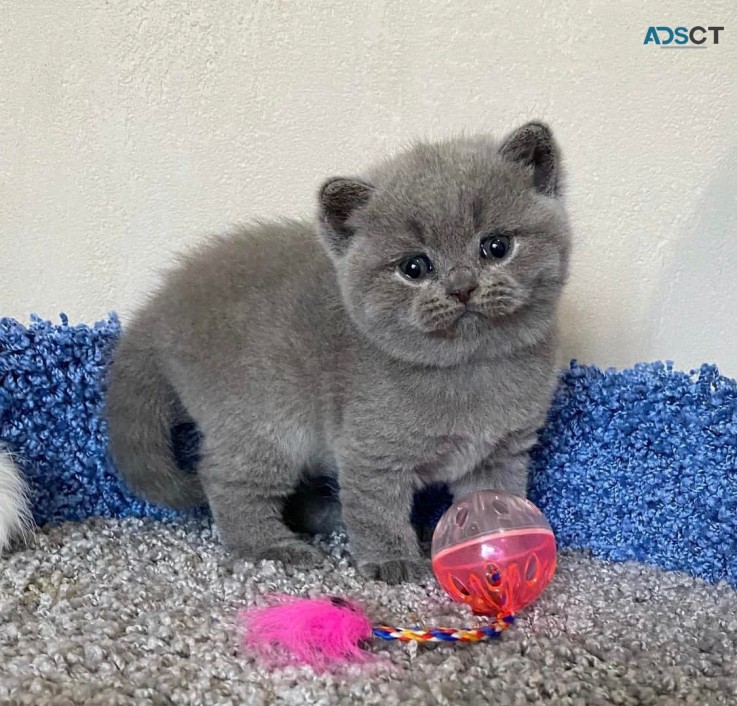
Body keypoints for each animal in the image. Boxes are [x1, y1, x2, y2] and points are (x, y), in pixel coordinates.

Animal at [106, 121, 572, 584]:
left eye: (496, 246)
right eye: (414, 267)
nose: (462, 287)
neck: (470, 368)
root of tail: (159, 307)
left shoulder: (501, 452)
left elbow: (497, 501)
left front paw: (507, 554)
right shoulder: (370, 453)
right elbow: (375, 509)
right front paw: (392, 560)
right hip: (263, 422)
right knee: (225, 479)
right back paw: (272, 547)